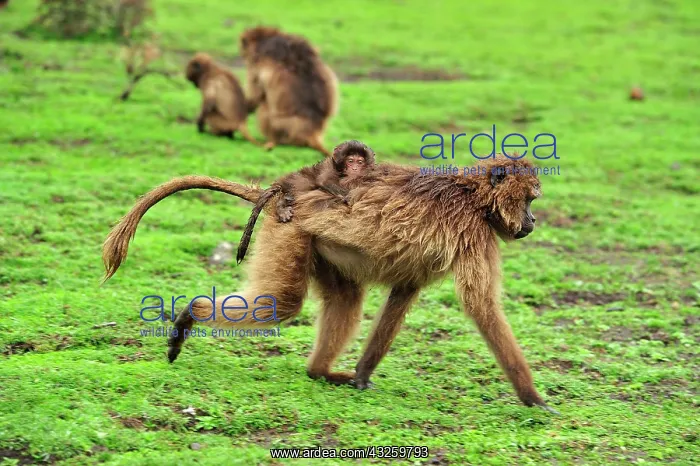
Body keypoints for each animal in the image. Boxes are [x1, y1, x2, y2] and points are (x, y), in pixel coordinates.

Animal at [101, 154, 558, 414]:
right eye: (529, 200)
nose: (533, 222)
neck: (474, 196)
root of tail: (285, 195)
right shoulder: (475, 235)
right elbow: (482, 306)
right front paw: (533, 399)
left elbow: (403, 293)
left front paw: (362, 374)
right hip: (290, 232)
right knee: (283, 302)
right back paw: (191, 314)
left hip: (319, 247)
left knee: (345, 300)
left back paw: (319, 371)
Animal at [235, 140, 378, 264]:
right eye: (350, 161)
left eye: (360, 162)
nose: (355, 169)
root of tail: (281, 182)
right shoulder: (329, 167)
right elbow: (325, 181)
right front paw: (350, 196)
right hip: (296, 181)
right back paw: (282, 204)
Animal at [239, 26, 338, 157]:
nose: (242, 55)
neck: (265, 38)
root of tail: (311, 132)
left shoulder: (256, 64)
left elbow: (255, 95)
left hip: (281, 127)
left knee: (264, 106)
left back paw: (271, 142)